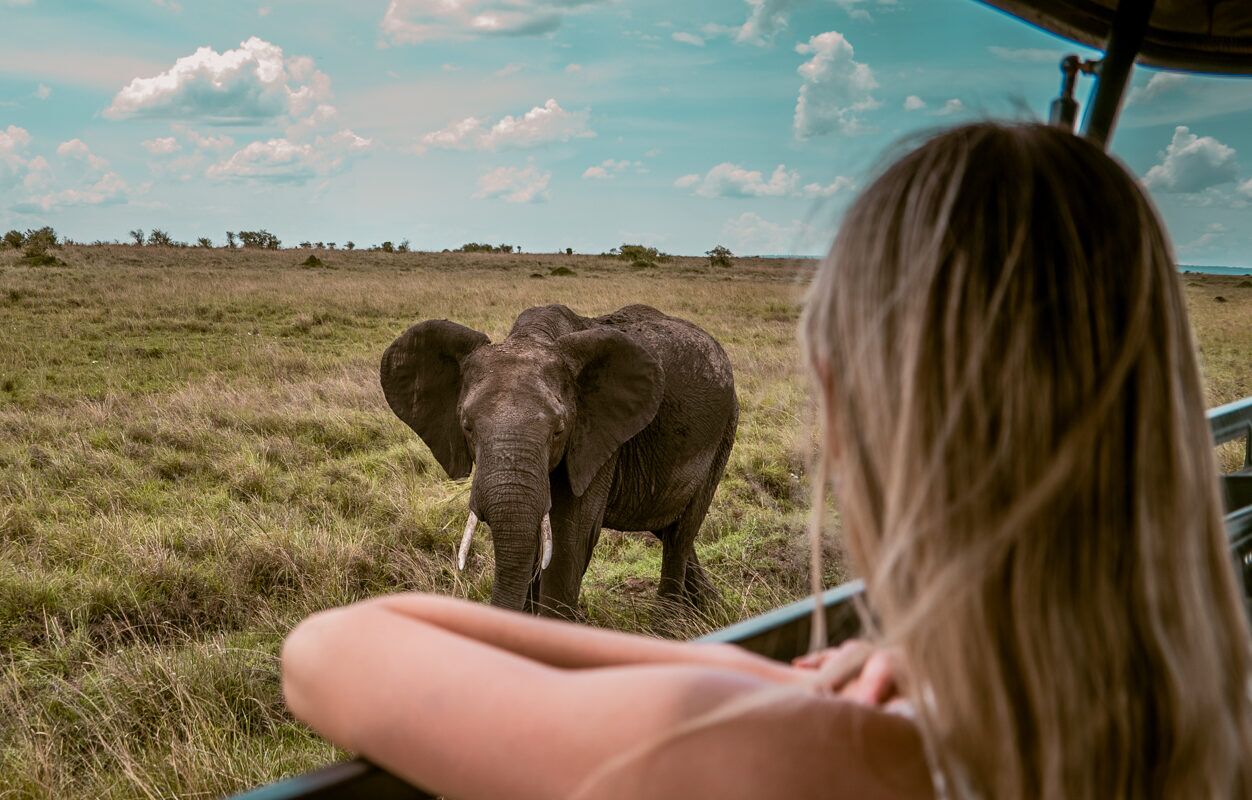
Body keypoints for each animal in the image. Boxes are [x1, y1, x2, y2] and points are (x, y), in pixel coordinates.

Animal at [380, 303, 738, 618]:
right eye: (467, 426)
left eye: (558, 430)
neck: (531, 337)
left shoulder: (594, 439)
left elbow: (567, 542)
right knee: (668, 529)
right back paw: (711, 608)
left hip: (723, 432)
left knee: (681, 534)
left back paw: (669, 625)